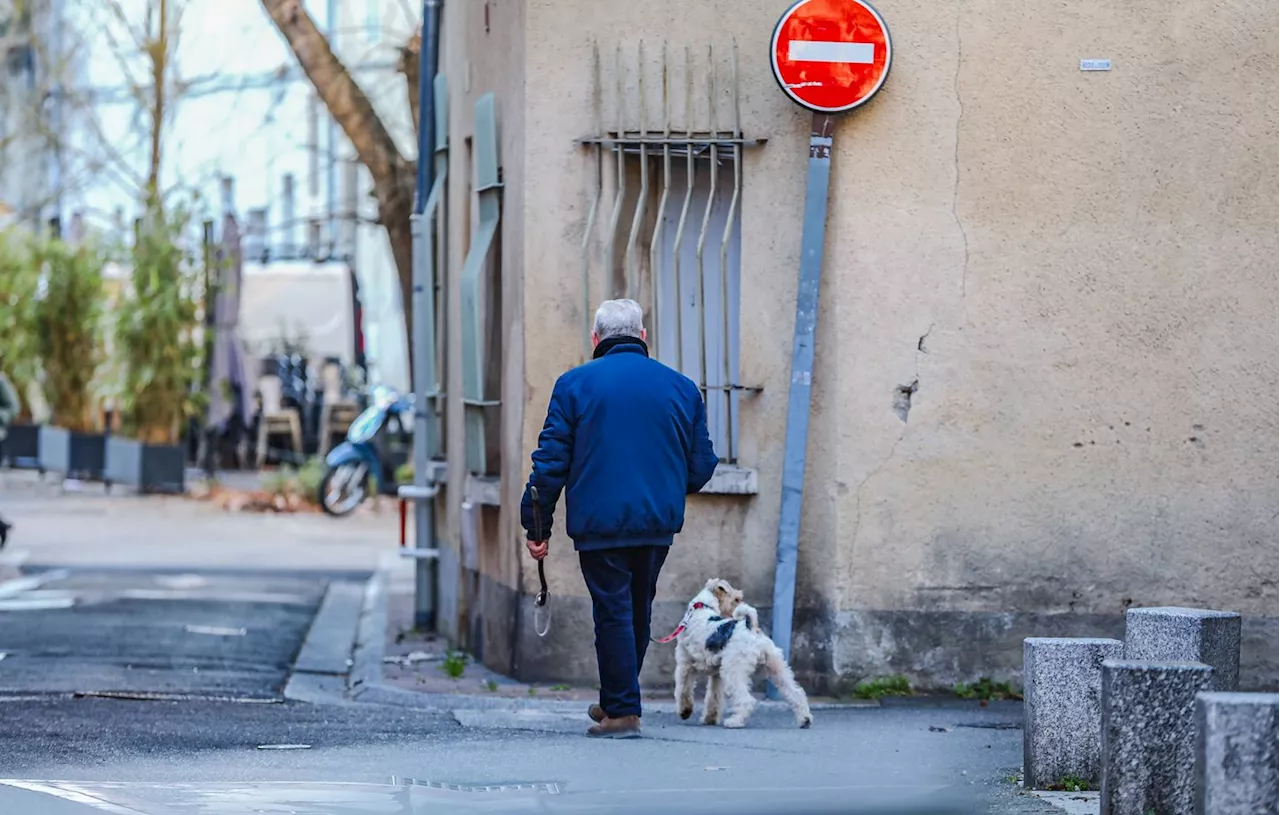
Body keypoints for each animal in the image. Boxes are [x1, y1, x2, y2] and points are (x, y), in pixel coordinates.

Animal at [670, 575, 808, 726]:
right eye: (736, 599)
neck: (703, 608)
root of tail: (751, 627)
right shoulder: (716, 675)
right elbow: (714, 697)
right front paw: (710, 718)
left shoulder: (684, 665)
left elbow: (683, 690)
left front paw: (685, 711)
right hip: (776, 668)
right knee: (796, 692)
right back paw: (805, 719)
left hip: (733, 671)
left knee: (747, 700)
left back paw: (734, 721)